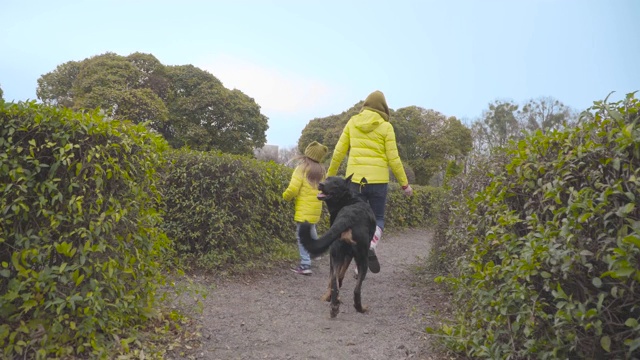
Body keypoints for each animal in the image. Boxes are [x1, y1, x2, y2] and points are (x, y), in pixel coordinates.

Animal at [298, 174, 376, 318]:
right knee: (356, 290)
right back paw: (359, 308)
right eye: (327, 179)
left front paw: (331, 298)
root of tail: (349, 216)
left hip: (337, 254)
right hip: (361, 260)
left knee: (334, 281)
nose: (321, 184)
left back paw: (334, 306)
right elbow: (341, 274)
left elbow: (336, 278)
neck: (348, 199)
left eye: (335, 183)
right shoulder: (348, 256)